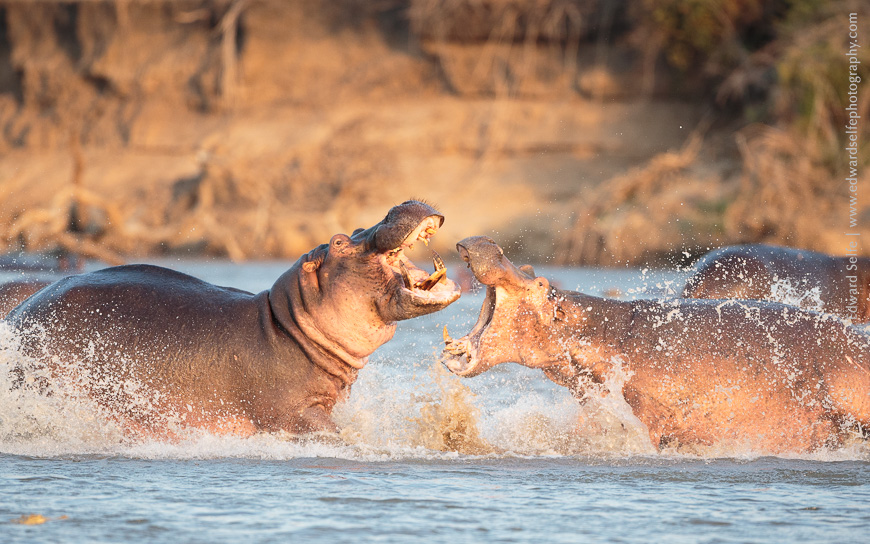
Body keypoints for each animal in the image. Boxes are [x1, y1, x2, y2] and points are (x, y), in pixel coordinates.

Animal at [6, 200, 460, 438]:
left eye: (357, 224)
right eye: (337, 242)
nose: (398, 206)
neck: (290, 325)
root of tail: (14, 318)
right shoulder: (294, 413)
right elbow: (338, 434)